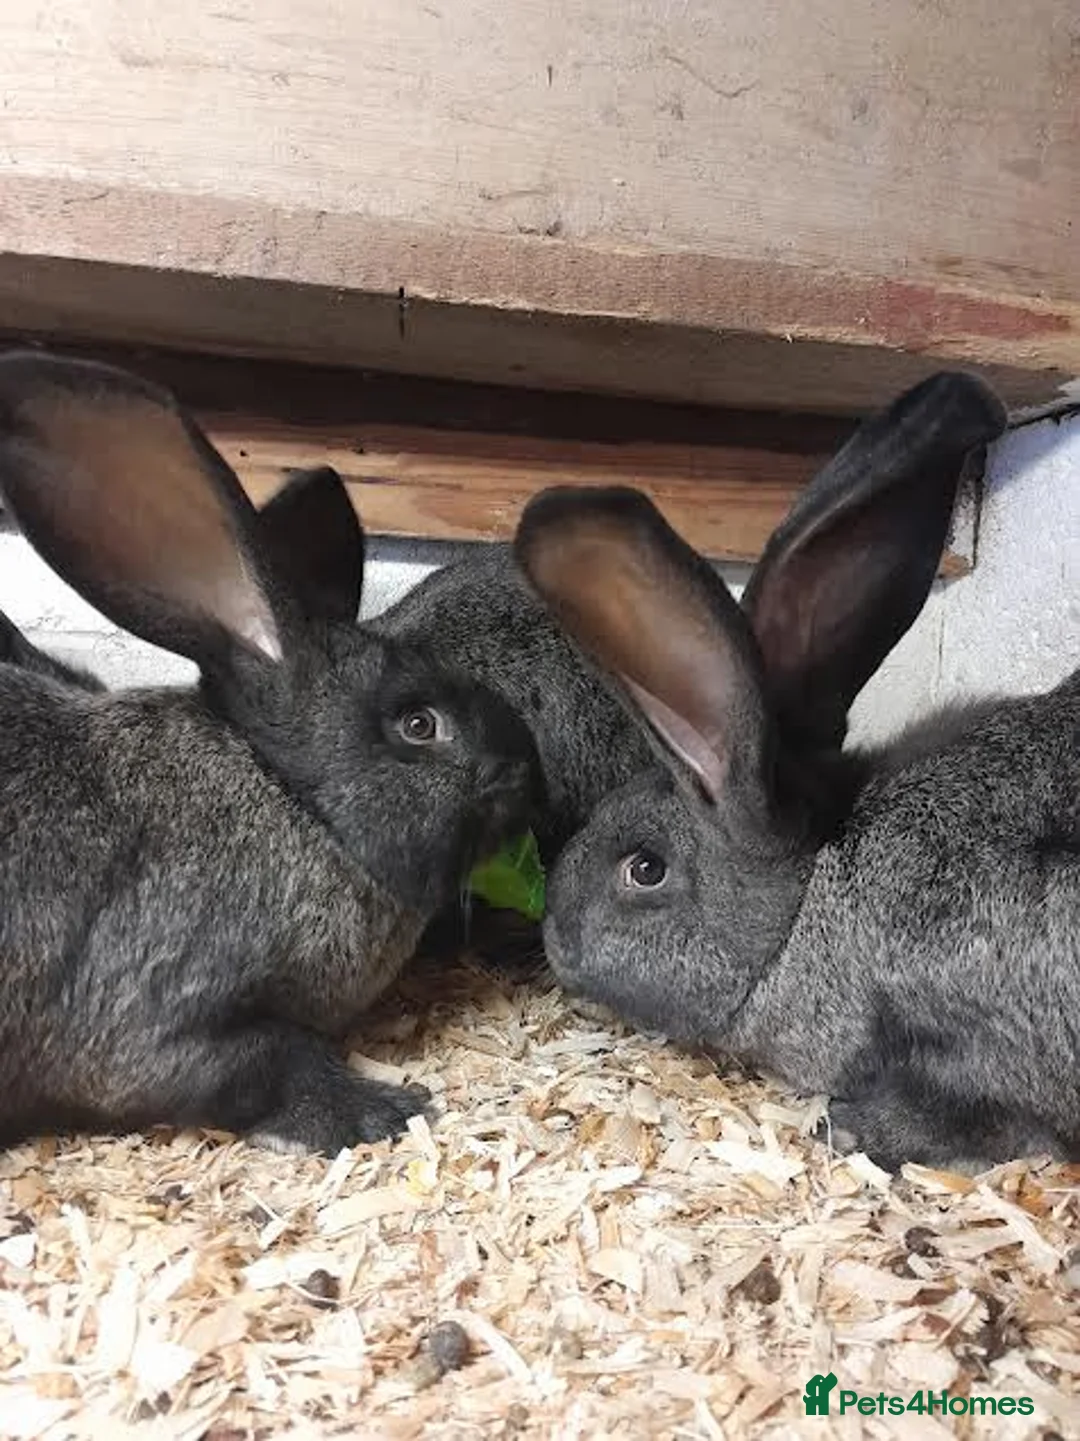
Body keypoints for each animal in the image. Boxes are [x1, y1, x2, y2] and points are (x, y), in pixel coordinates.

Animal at [0, 351, 538, 1155]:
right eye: (418, 724)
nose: (527, 768)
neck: (294, 800)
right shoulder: (152, 1021)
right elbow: (270, 1059)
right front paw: (382, 1110)